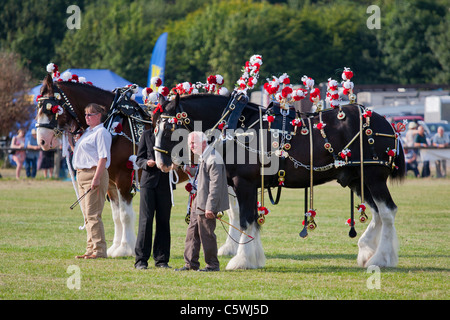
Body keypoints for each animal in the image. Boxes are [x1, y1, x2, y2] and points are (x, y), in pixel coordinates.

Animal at [35, 73, 149, 258]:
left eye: (51, 109)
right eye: (37, 107)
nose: (42, 141)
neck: (115, 122)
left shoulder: (124, 178)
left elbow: (125, 214)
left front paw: (125, 248)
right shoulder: (110, 182)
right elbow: (116, 214)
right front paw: (115, 248)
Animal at [154, 93, 404, 270]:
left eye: (169, 128)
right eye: (154, 127)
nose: (160, 162)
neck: (235, 126)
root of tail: (388, 125)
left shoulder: (244, 183)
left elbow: (245, 220)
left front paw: (241, 260)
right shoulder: (248, 185)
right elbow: (252, 220)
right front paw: (253, 258)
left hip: (373, 176)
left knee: (388, 212)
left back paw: (382, 258)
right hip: (357, 179)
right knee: (377, 212)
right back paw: (367, 251)